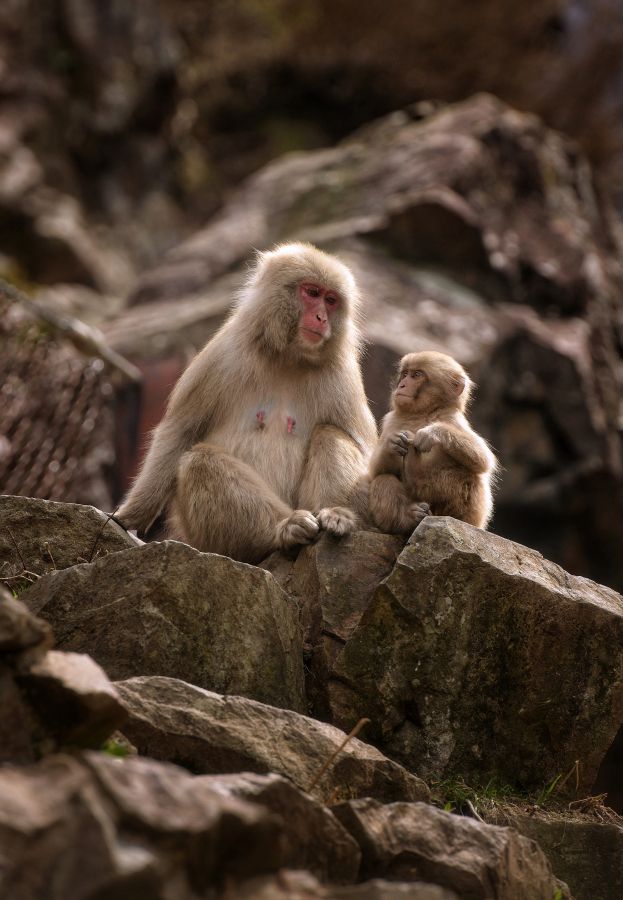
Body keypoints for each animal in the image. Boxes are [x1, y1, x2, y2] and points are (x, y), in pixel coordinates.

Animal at [119, 243, 378, 560]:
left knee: (331, 434)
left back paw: (334, 516)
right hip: (207, 539)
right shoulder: (222, 354)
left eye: (331, 300)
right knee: (199, 460)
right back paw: (284, 528)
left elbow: (366, 452)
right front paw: (133, 514)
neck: (288, 357)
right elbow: (180, 432)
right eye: (312, 293)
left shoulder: (343, 378)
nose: (321, 318)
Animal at [370, 350, 498, 536]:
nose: (402, 385)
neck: (424, 413)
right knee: (383, 479)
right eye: (405, 374)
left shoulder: (454, 420)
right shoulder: (391, 421)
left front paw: (431, 434)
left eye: (417, 375)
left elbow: (483, 460)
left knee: (471, 475)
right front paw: (392, 444)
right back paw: (410, 517)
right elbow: (376, 470)